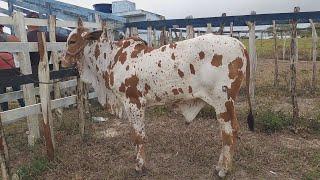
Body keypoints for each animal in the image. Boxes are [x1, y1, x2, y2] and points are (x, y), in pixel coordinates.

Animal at [62, 19, 252, 177]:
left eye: (72, 41)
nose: (61, 60)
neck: (111, 59)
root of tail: (240, 44)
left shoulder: (133, 103)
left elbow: (138, 136)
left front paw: (139, 166)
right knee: (233, 131)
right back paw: (221, 166)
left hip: (222, 102)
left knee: (228, 133)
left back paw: (223, 170)